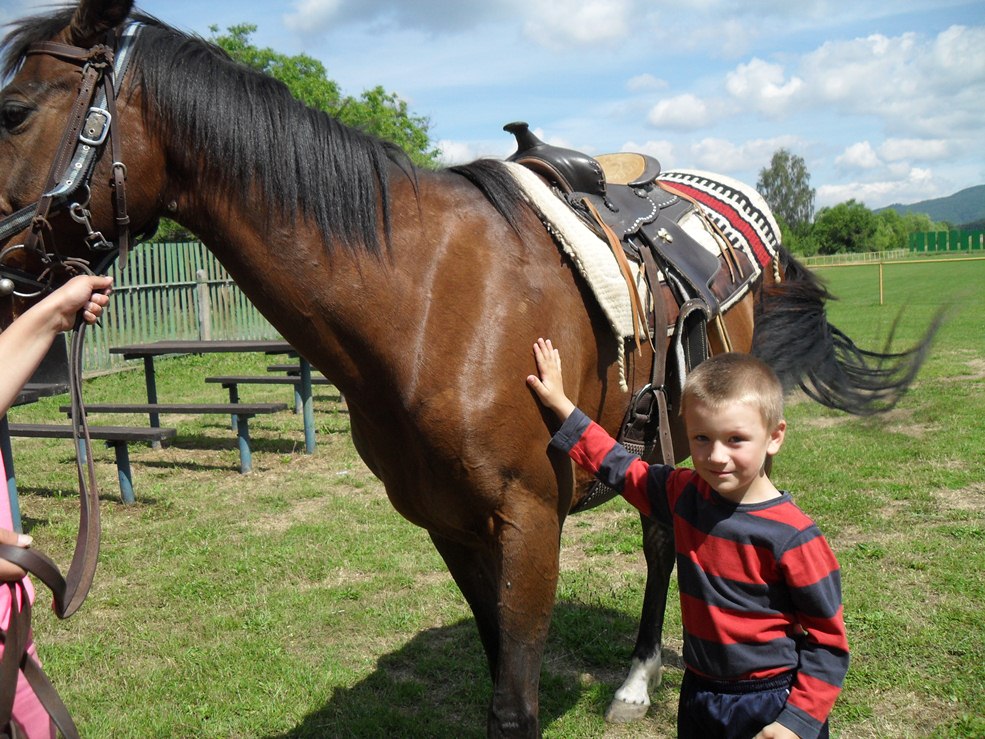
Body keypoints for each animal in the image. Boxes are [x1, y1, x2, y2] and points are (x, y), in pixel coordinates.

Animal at [0, 1, 935, 735]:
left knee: (666, 538)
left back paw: (636, 680)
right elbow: (495, 667)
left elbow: (513, 704)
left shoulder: (529, 523)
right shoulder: (449, 524)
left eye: (12, 108)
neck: (422, 303)